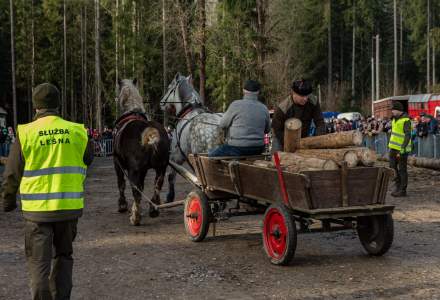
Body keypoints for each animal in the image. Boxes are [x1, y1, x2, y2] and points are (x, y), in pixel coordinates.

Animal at [113, 79, 170, 225]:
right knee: (157, 186)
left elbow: (121, 184)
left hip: (134, 170)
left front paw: (122, 205)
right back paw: (153, 210)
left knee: (136, 191)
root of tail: (149, 131)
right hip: (161, 168)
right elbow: (143, 185)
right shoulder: (143, 170)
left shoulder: (117, 163)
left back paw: (136, 217)